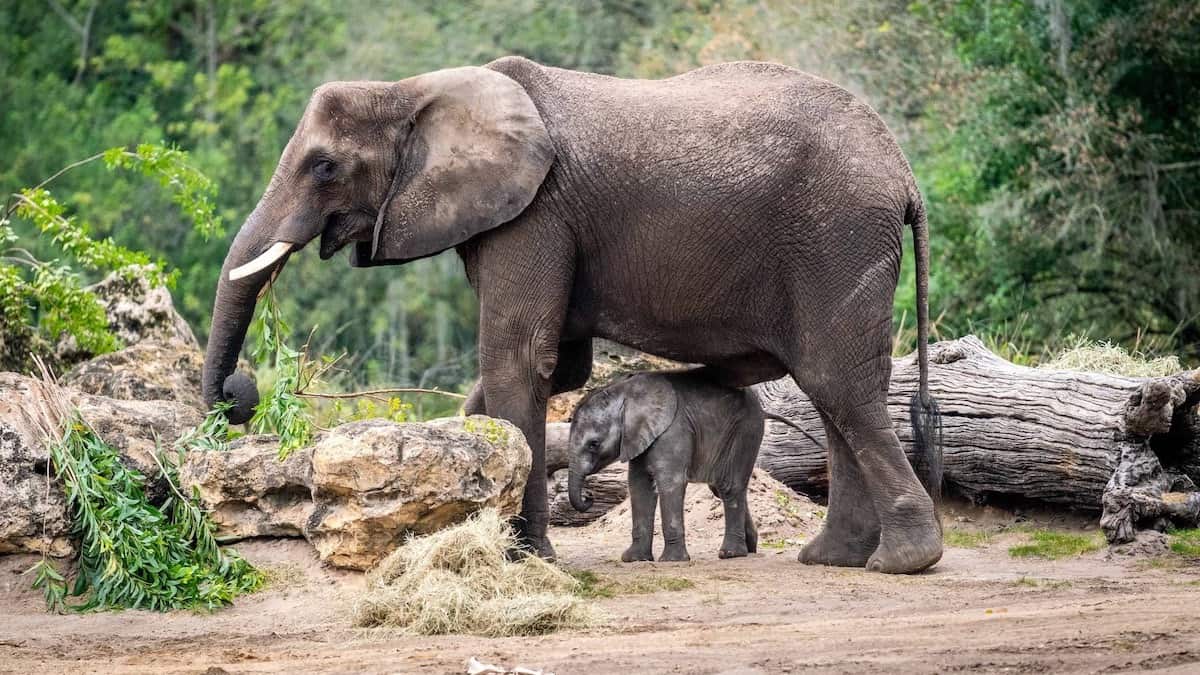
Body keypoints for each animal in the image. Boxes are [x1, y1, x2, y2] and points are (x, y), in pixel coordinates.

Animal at [566, 367, 763, 557]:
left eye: (593, 444)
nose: (589, 496)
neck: (624, 392)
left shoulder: (673, 429)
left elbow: (670, 482)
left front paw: (671, 559)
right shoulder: (638, 437)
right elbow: (639, 485)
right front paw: (633, 558)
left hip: (745, 431)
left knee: (728, 486)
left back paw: (730, 554)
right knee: (719, 488)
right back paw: (749, 548)